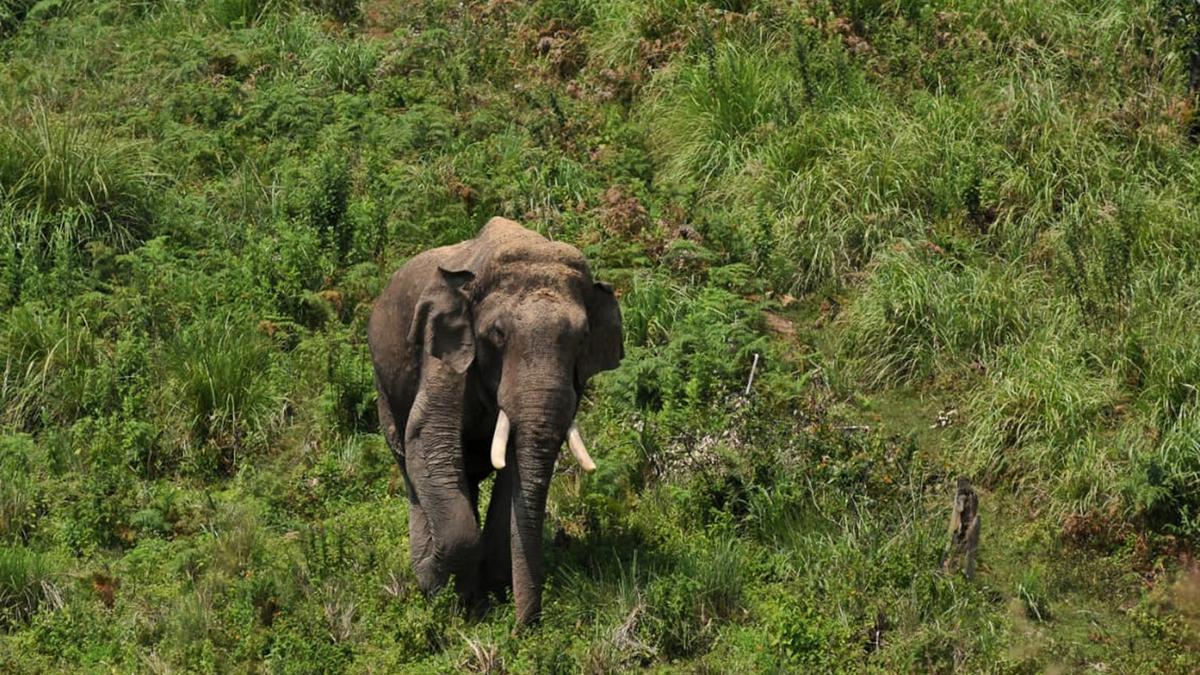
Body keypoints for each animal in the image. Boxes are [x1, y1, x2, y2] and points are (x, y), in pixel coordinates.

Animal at [367, 214, 624, 619]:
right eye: (497, 334)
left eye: (582, 338)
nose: (526, 626)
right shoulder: (444, 348)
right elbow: (427, 438)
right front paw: (445, 587)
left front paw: (489, 592)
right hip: (384, 385)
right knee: (410, 464)